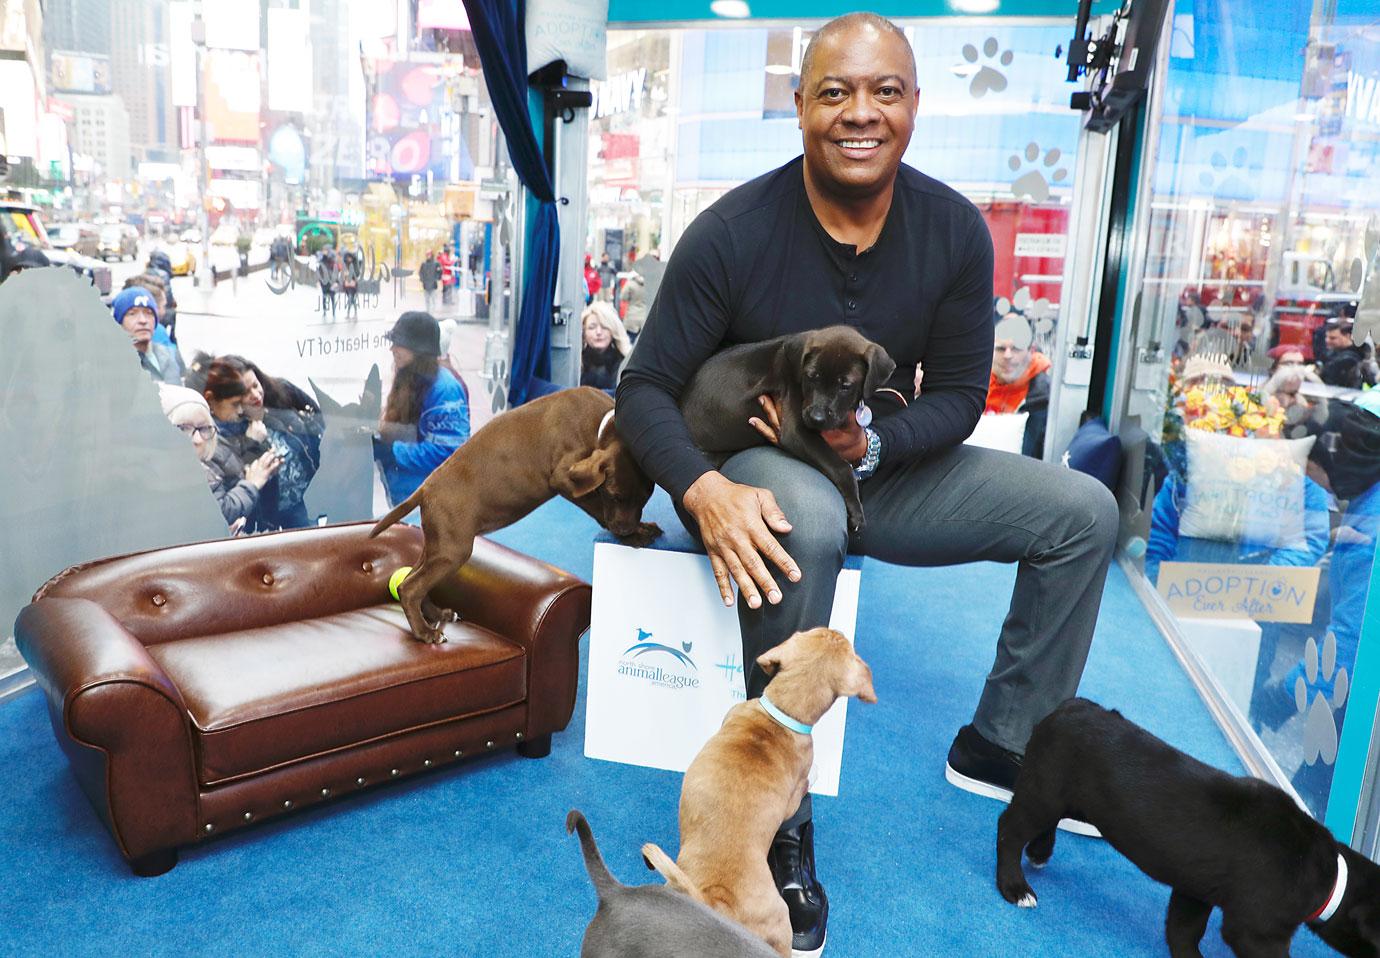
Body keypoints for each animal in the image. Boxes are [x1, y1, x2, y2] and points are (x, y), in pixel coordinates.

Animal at [369, 383, 659, 646]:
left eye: (645, 498)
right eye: (614, 495)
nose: (624, 530)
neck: (601, 423)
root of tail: (424, 488)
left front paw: (640, 528)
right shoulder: (564, 478)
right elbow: (597, 507)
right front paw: (635, 536)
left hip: (438, 546)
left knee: (411, 579)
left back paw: (437, 615)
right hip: (453, 550)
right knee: (410, 587)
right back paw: (425, 632)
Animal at [676, 324, 894, 532]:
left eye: (845, 386)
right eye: (811, 376)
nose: (816, 418)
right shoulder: (796, 431)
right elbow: (841, 467)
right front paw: (856, 510)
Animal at [1004, 698, 1380, 958]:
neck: (1331, 875)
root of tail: (1068, 707)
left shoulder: (1195, 891)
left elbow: (1183, 931)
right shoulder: (1255, 931)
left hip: (1066, 800)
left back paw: (1039, 852)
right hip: (1042, 792)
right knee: (1009, 828)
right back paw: (1014, 887)